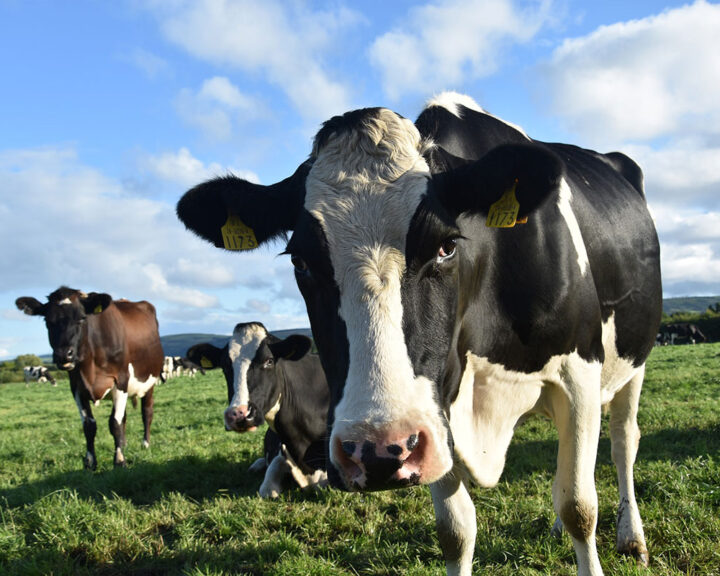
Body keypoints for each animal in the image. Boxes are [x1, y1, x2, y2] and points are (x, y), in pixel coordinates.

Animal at [15, 286, 165, 470]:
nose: (63, 355)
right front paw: (90, 462)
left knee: (146, 412)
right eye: (47, 321)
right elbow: (89, 426)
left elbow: (114, 423)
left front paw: (119, 460)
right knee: (124, 417)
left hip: (149, 382)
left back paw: (145, 443)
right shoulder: (76, 387)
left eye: (81, 318)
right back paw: (124, 443)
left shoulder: (121, 381)